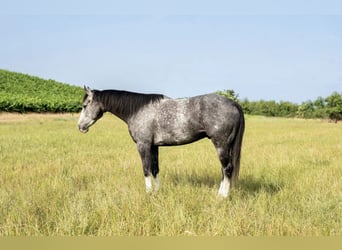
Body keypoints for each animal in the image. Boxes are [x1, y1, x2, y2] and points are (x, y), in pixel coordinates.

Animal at [78, 87, 243, 198]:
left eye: (85, 105)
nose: (80, 127)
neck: (137, 110)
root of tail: (233, 103)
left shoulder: (143, 145)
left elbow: (146, 169)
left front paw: (148, 193)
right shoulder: (154, 146)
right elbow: (155, 169)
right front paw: (157, 192)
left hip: (221, 144)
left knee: (227, 168)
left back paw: (222, 196)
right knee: (224, 170)